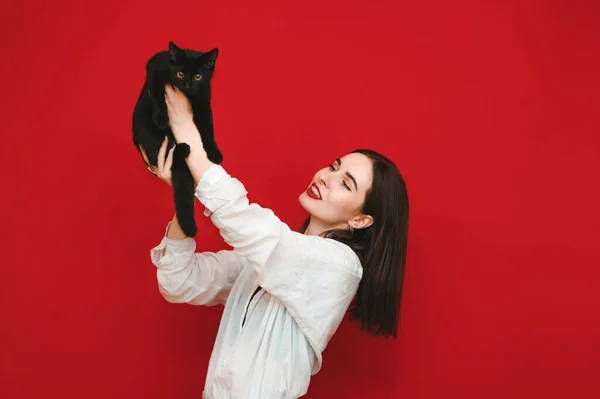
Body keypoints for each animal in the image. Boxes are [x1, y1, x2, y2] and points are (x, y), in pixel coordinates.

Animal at [133, 41, 223, 238]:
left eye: (198, 76)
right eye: (180, 73)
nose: (187, 85)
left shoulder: (203, 101)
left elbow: (208, 128)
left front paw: (214, 152)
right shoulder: (155, 67)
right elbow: (157, 93)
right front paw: (161, 117)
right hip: (154, 139)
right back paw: (182, 148)